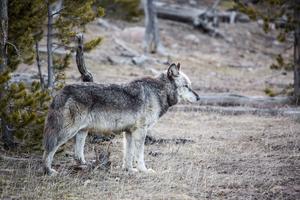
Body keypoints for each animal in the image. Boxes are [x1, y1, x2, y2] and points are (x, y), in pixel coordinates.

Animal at [42, 62, 199, 175]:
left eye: (190, 86)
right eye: (186, 86)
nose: (198, 98)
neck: (159, 91)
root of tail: (60, 92)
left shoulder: (128, 132)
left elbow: (128, 155)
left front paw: (129, 170)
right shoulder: (141, 131)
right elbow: (139, 155)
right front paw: (144, 170)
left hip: (82, 132)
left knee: (77, 155)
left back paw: (87, 167)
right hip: (66, 133)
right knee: (48, 150)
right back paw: (49, 171)